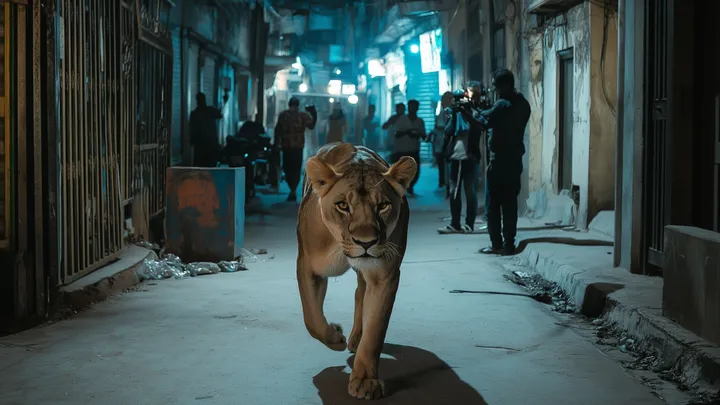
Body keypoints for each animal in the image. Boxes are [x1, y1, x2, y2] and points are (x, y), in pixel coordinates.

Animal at [296, 142, 417, 400]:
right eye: (343, 205)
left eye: (382, 205)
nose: (366, 243)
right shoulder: (308, 266)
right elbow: (312, 319)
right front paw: (335, 337)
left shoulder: (384, 275)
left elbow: (376, 330)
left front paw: (365, 380)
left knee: (360, 293)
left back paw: (357, 338)